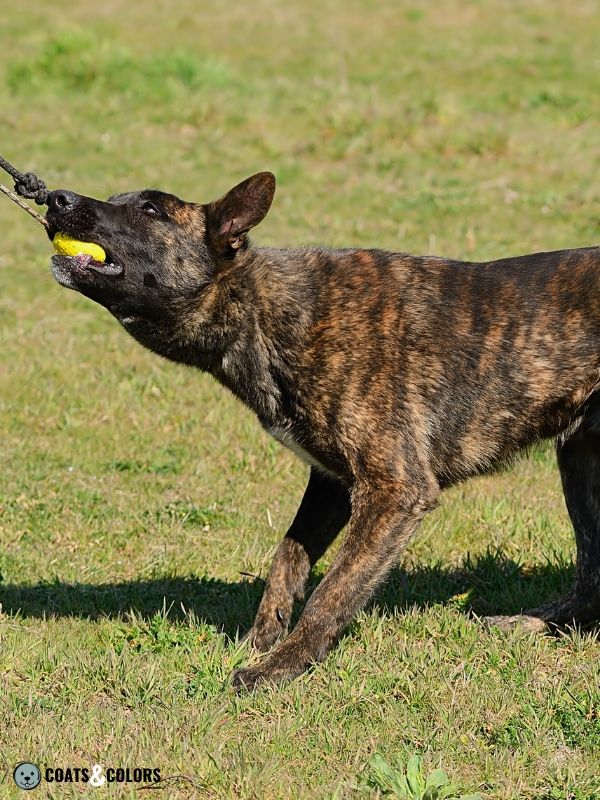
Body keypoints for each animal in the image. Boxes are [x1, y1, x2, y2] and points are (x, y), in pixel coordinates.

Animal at [45, 173, 600, 688]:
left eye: (151, 209)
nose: (55, 198)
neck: (266, 311)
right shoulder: (330, 485)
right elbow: (286, 562)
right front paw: (260, 640)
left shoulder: (393, 491)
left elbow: (331, 592)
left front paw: (279, 667)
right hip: (579, 464)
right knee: (590, 576)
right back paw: (532, 624)